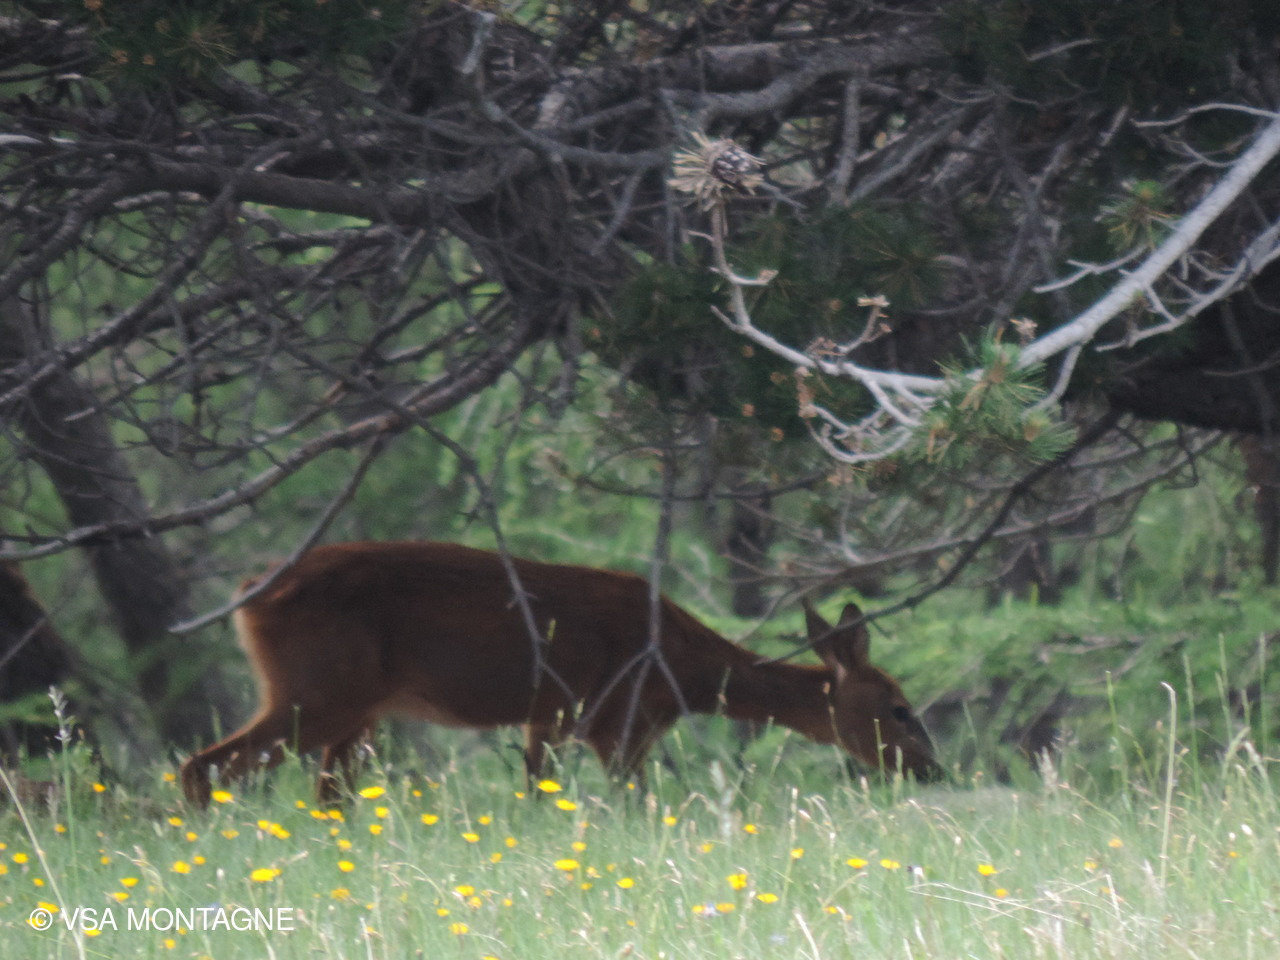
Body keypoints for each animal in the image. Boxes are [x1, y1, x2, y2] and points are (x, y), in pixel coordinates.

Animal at [180, 541, 941, 807]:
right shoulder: (618, 719)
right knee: (202, 764)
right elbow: (631, 801)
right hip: (319, 693)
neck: (688, 670)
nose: (934, 769)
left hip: (351, 710)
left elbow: (537, 788)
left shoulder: (549, 714)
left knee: (325, 794)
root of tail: (250, 595)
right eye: (900, 708)